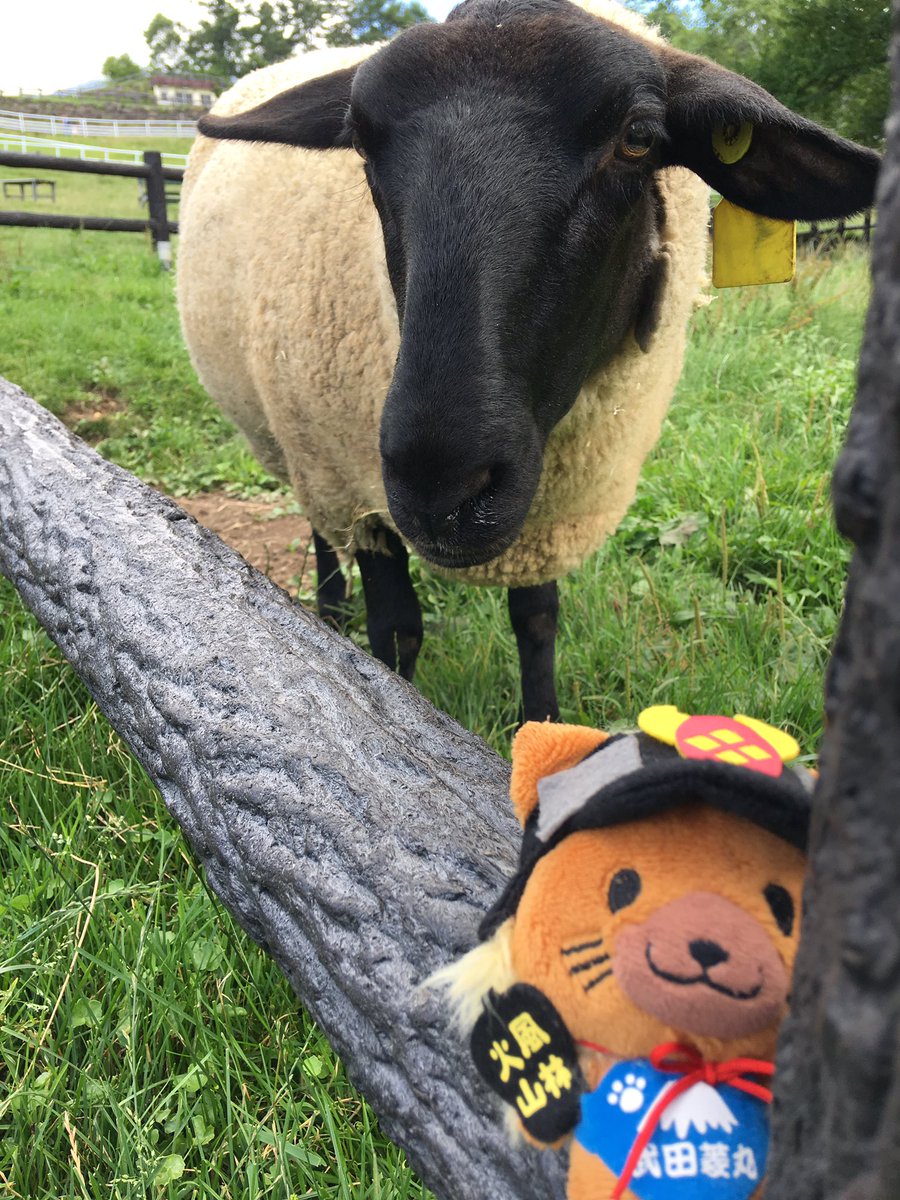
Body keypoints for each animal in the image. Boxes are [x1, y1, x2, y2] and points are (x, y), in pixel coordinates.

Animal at [177, 0, 879, 722]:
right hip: (303, 440)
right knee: (324, 531)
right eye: (361, 143)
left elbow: (537, 619)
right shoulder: (362, 489)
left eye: (638, 137)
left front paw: (541, 727)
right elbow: (396, 631)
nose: (440, 483)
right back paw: (330, 616)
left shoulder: (546, 515)